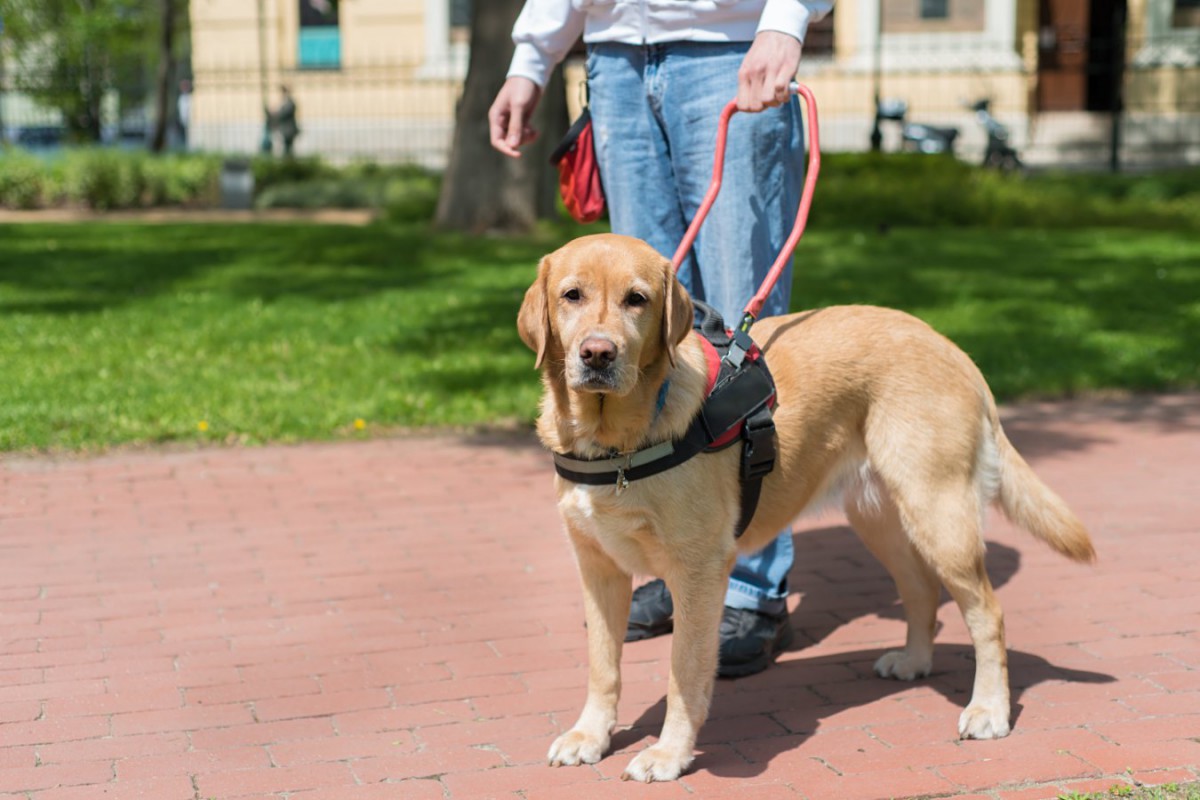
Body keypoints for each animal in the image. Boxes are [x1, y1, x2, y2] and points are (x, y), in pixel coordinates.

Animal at [518, 231, 1099, 782]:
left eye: (637, 299)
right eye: (572, 295)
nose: (597, 353)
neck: (615, 443)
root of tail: (949, 344)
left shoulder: (699, 570)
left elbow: (684, 672)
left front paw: (668, 754)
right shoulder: (598, 570)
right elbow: (603, 667)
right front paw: (590, 736)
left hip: (940, 515)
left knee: (987, 613)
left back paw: (990, 710)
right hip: (882, 519)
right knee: (922, 591)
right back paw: (915, 661)